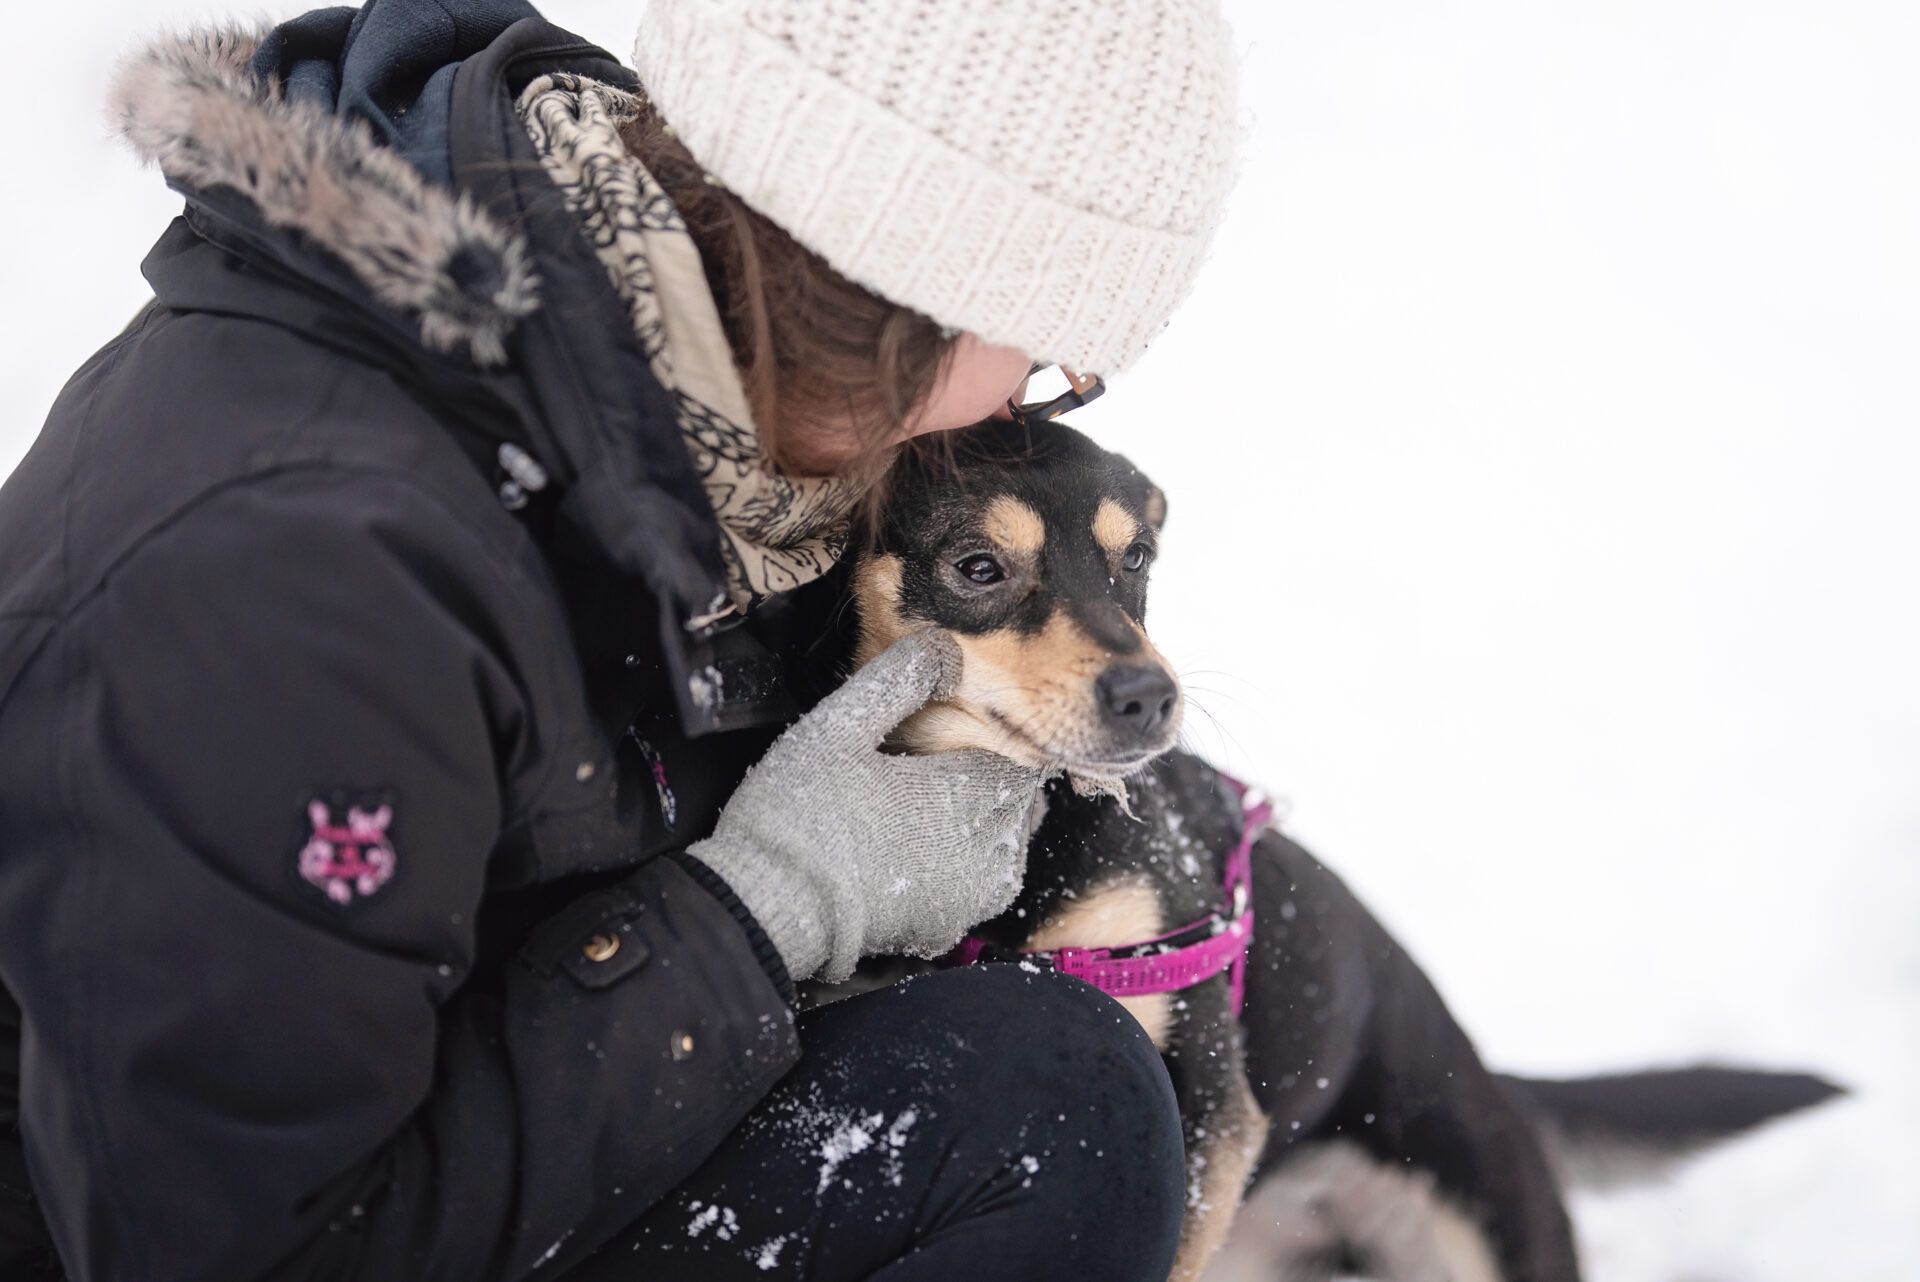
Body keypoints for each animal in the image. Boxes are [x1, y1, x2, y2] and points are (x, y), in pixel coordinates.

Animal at [829, 420, 1843, 1282]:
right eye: (978, 566)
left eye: (1137, 558)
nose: (1150, 697)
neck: (1023, 848)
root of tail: (1492, 1082)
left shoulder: (1207, 1088)